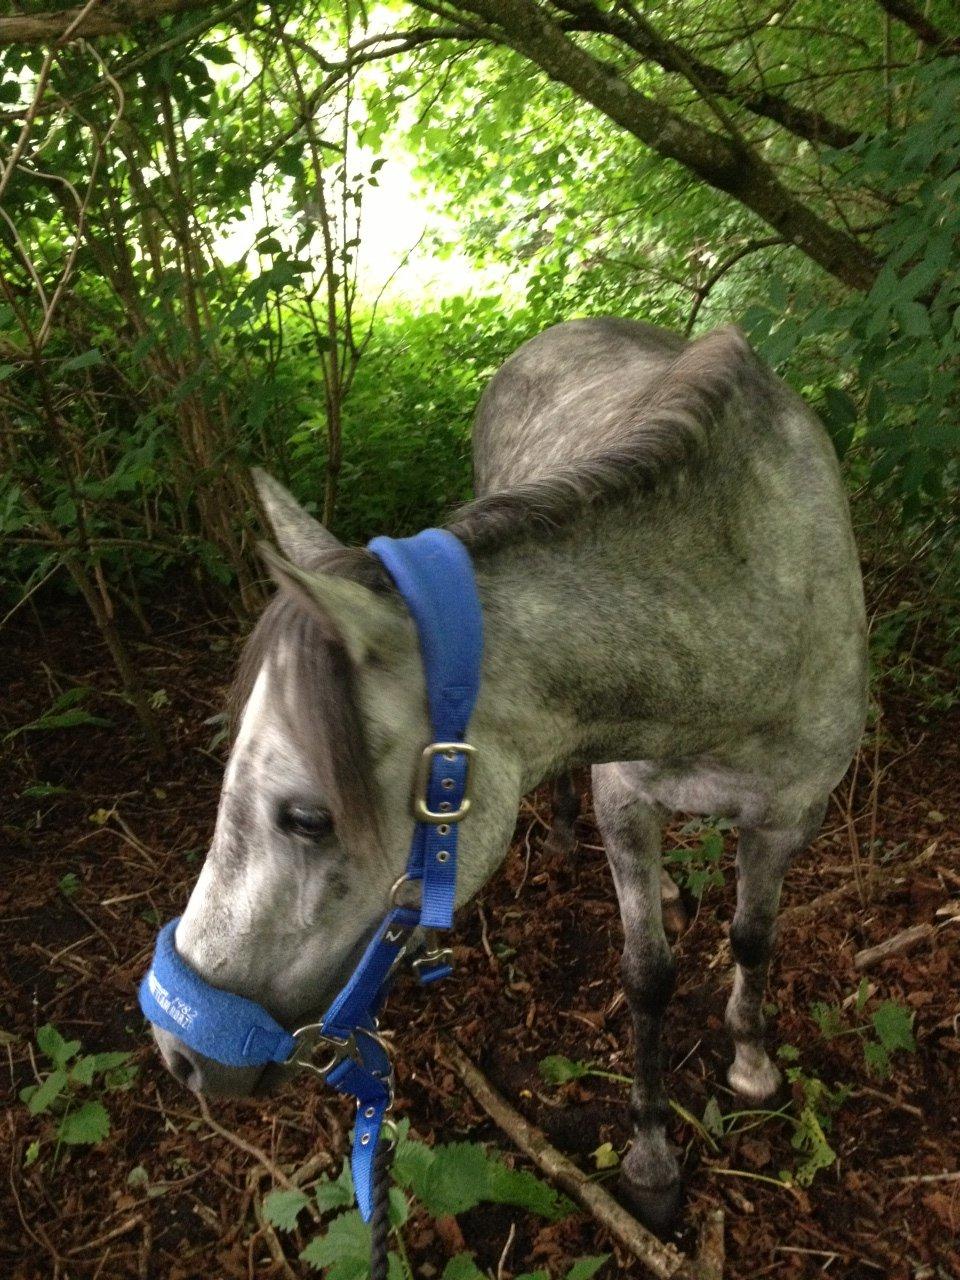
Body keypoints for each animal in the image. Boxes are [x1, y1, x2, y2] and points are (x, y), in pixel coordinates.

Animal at [150, 316, 867, 1229]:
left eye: (307, 817)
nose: (176, 1047)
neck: (747, 616)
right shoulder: (625, 799)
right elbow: (648, 974)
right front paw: (652, 1157)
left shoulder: (790, 814)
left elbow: (753, 936)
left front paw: (750, 1060)